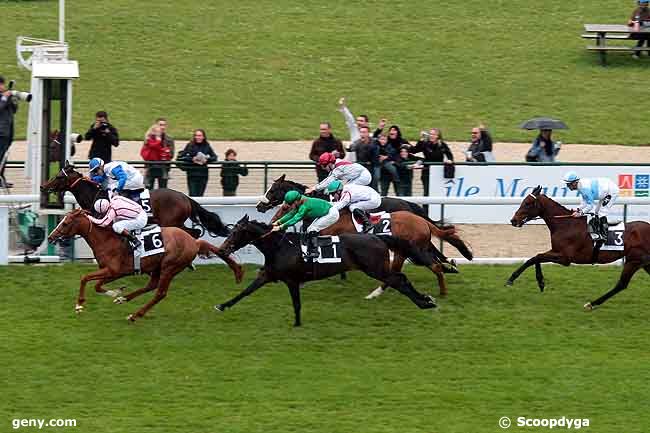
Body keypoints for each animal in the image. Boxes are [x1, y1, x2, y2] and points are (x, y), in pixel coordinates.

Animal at [46, 209, 242, 320]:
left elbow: (85, 278)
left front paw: (79, 305)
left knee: (160, 293)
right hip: (156, 268)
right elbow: (97, 285)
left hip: (170, 267)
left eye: (66, 223)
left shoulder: (112, 270)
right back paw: (124, 299)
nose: (50, 237)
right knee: (151, 286)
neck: (106, 240)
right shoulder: (114, 272)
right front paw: (117, 292)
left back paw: (135, 315)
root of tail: (194, 242)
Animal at [214, 214, 436, 326]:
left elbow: (296, 304)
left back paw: (425, 303)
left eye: (236, 232)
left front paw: (297, 324)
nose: (222, 249)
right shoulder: (268, 275)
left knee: (398, 281)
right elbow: (246, 291)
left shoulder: (292, 280)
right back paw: (426, 299)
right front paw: (222, 306)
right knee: (401, 279)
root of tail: (377, 236)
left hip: (375, 269)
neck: (280, 246)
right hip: (379, 268)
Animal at [506, 186, 648, 310]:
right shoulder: (557, 252)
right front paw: (539, 283)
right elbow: (535, 258)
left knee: (621, 284)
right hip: (644, 263)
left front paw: (515, 279)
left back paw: (591, 304)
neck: (566, 224)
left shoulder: (565, 258)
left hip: (634, 260)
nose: (513, 220)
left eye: (528, 203)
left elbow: (536, 257)